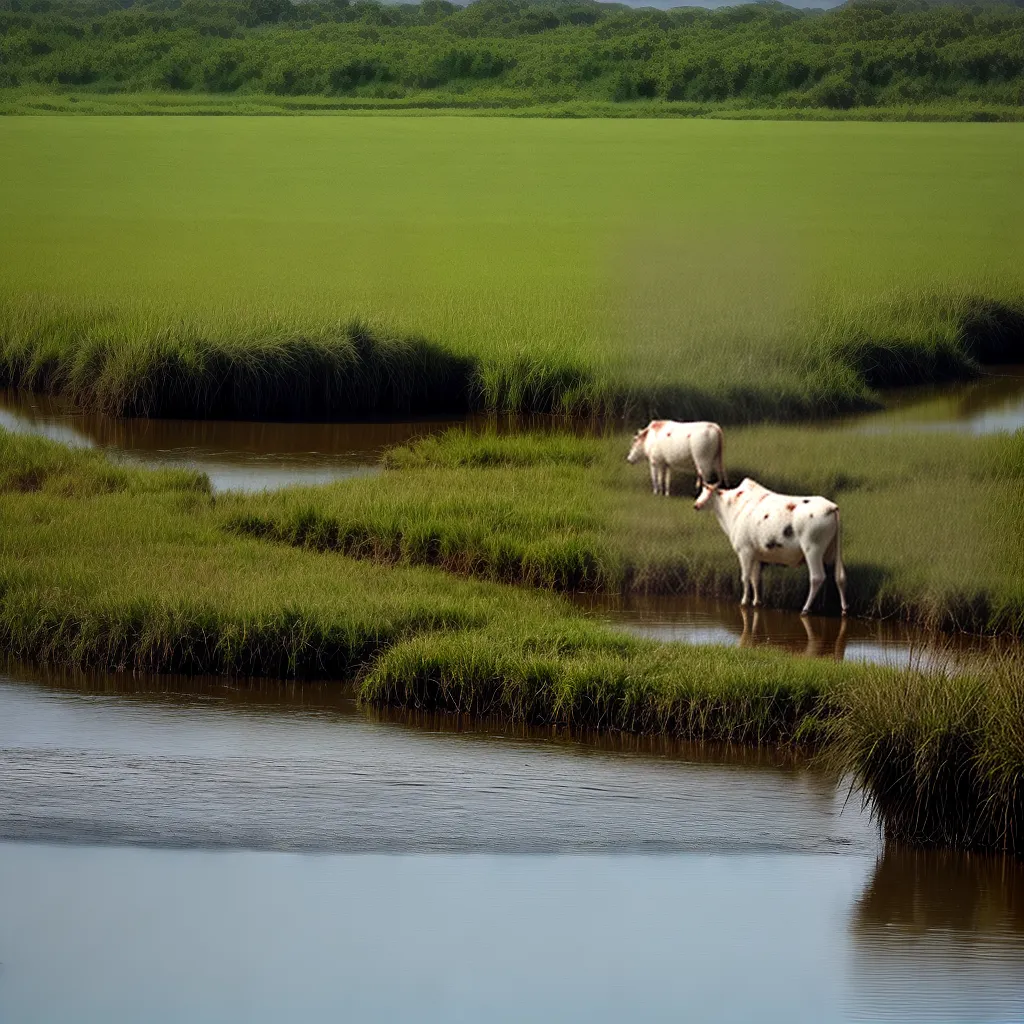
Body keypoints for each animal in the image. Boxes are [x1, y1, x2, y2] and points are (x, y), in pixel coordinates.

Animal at [693, 477, 848, 617]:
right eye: (702, 490)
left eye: (708, 492)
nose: (696, 505)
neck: (734, 508)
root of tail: (831, 507)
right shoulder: (755, 554)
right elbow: (755, 578)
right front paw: (756, 602)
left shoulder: (744, 551)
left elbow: (745, 577)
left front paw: (744, 602)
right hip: (836, 551)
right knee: (839, 577)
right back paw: (844, 609)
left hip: (812, 550)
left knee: (817, 577)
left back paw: (805, 609)